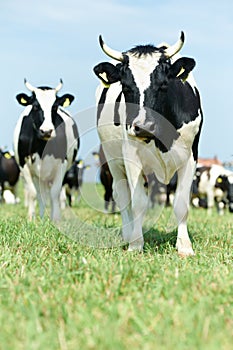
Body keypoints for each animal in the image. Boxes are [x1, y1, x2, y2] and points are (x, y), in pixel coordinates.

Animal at [13, 80, 79, 220]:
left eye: (54, 107)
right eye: (35, 106)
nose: (47, 131)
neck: (41, 147)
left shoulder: (62, 164)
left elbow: (55, 193)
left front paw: (56, 219)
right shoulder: (23, 164)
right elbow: (33, 193)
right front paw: (31, 218)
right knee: (40, 194)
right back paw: (42, 217)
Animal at [93, 31, 203, 256]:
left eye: (163, 85)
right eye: (126, 87)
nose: (143, 127)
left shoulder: (191, 157)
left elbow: (181, 203)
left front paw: (184, 246)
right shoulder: (131, 156)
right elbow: (138, 202)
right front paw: (136, 244)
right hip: (113, 159)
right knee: (121, 195)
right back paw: (128, 234)